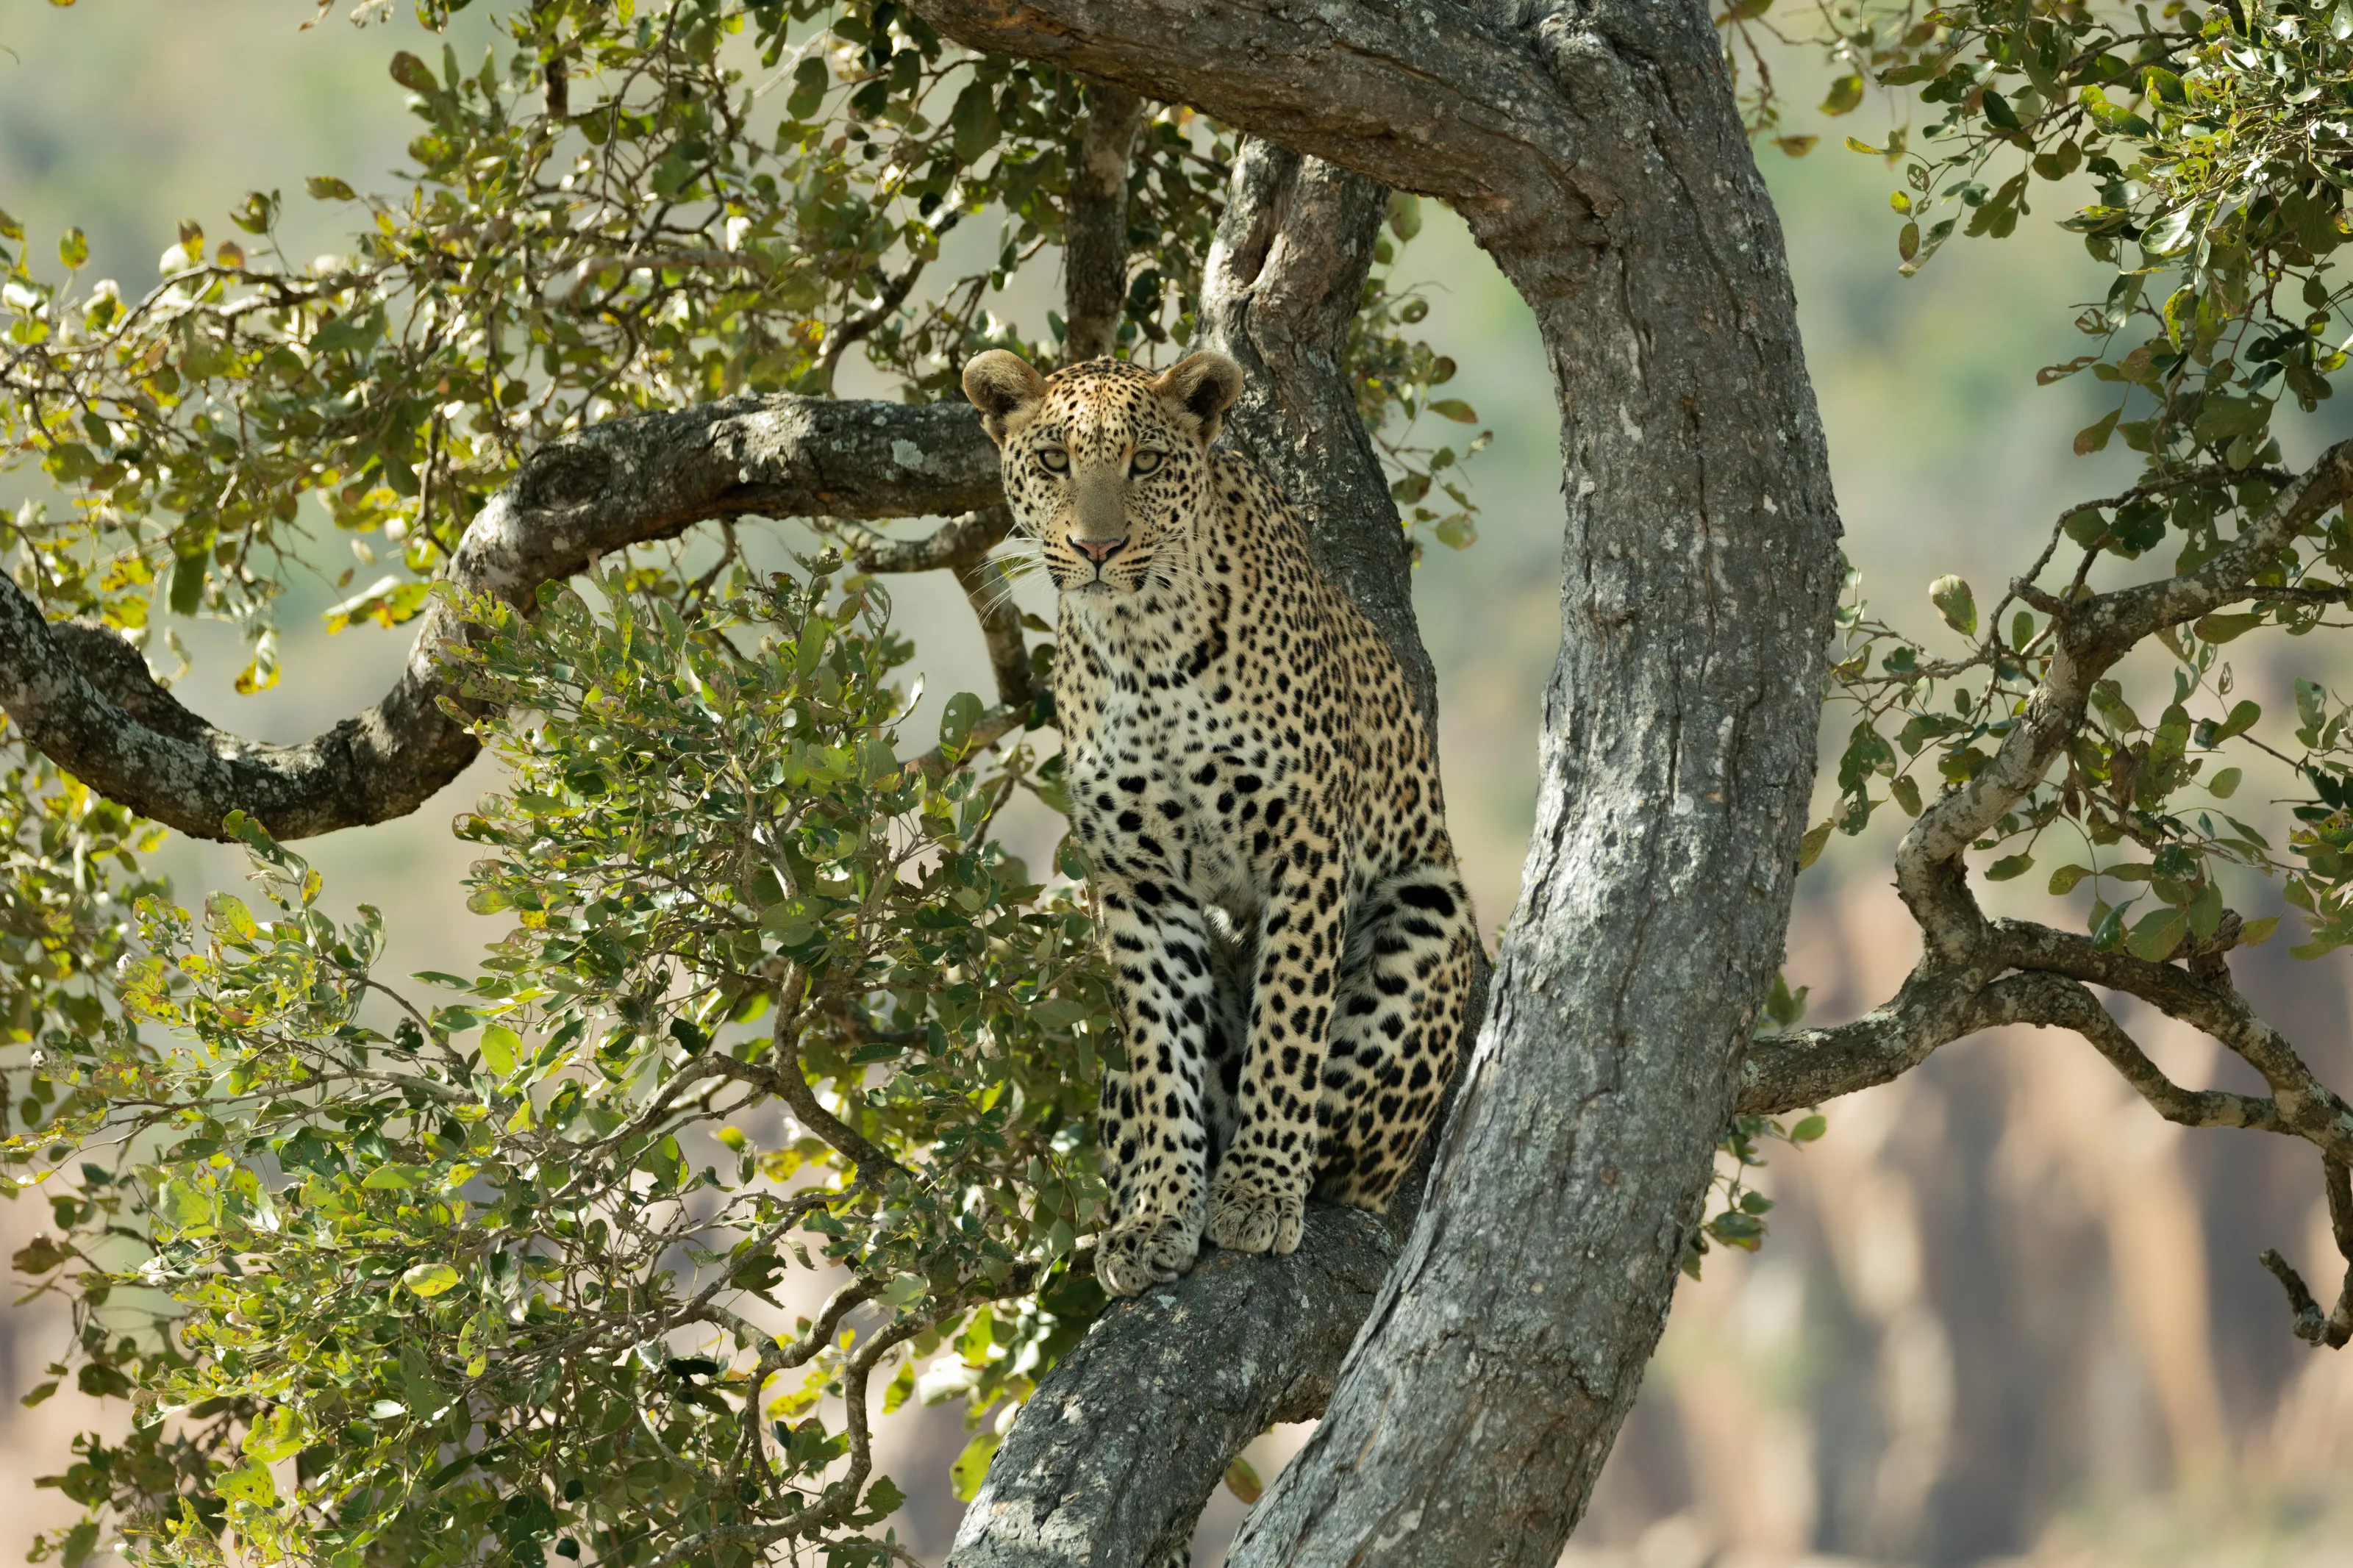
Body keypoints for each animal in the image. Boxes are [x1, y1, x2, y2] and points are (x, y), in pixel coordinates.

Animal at [961, 347, 1479, 1300]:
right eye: (1052, 461)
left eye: (1145, 463)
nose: (1097, 549)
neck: (1139, 647)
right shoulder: (1137, 885)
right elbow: (1164, 1053)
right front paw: (1159, 1213)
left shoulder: (1304, 848)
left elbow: (1288, 1026)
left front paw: (1258, 1189)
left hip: (1425, 915)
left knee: (1346, 1141)